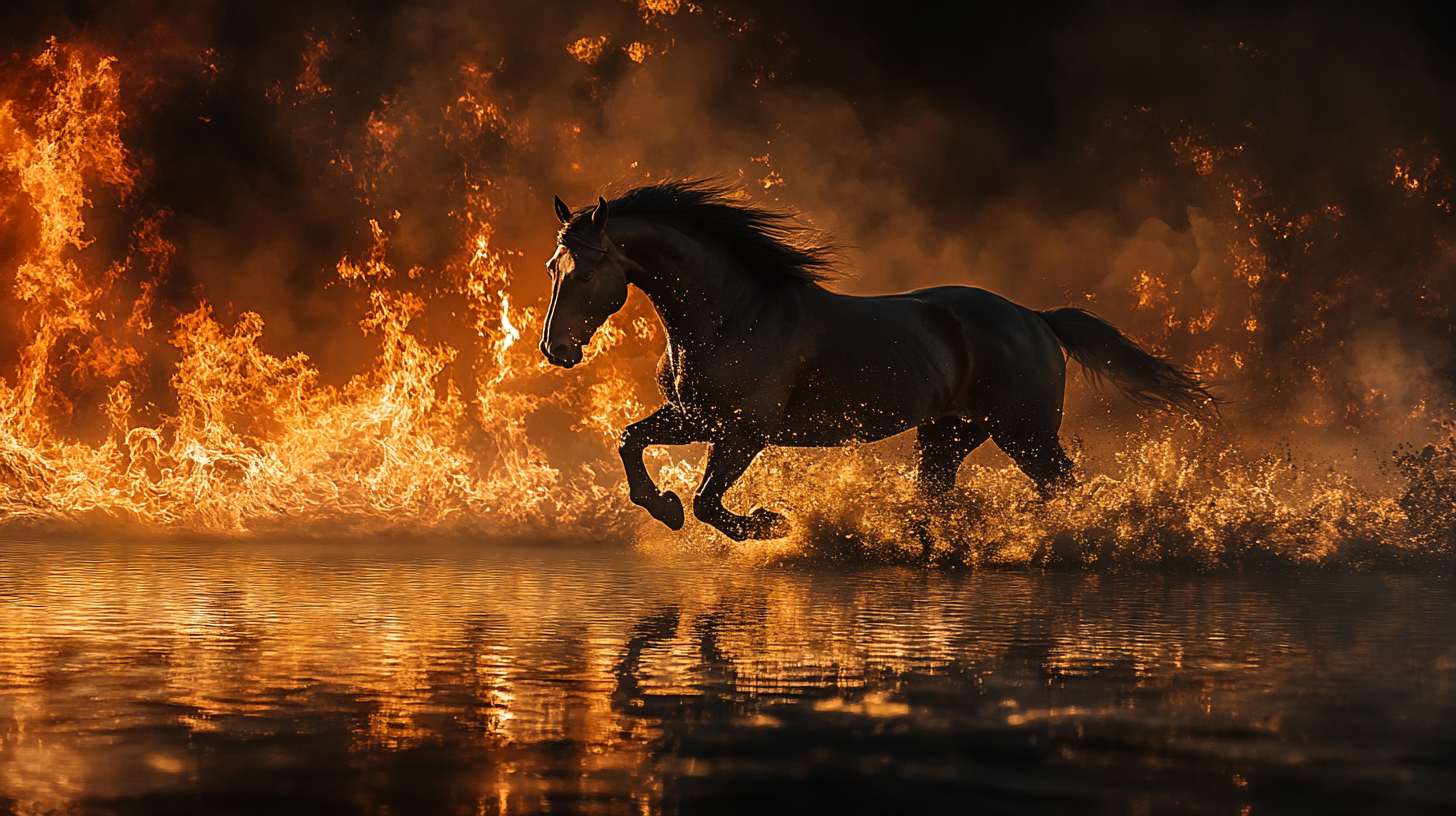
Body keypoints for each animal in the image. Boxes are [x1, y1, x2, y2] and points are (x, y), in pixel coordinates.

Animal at [541, 181, 1211, 544]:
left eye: (587, 270)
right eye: (553, 267)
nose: (556, 349)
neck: (732, 313)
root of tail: (1037, 318)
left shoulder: (744, 430)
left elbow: (709, 502)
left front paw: (772, 524)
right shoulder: (694, 418)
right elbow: (629, 441)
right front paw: (664, 506)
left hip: (1027, 433)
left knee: (1064, 489)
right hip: (948, 436)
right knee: (939, 499)